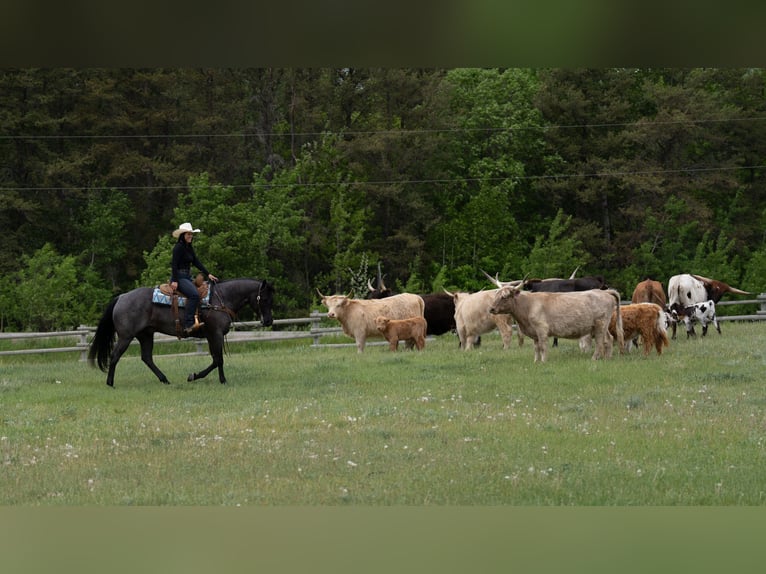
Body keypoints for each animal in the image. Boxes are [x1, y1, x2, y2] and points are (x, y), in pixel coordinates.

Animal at [88, 278, 274, 387]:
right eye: (264, 299)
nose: (268, 321)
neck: (219, 300)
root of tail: (122, 297)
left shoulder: (210, 336)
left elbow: (215, 360)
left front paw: (195, 376)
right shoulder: (216, 334)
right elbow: (218, 360)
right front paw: (219, 380)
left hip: (146, 335)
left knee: (147, 358)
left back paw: (164, 379)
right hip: (126, 337)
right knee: (115, 356)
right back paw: (110, 383)